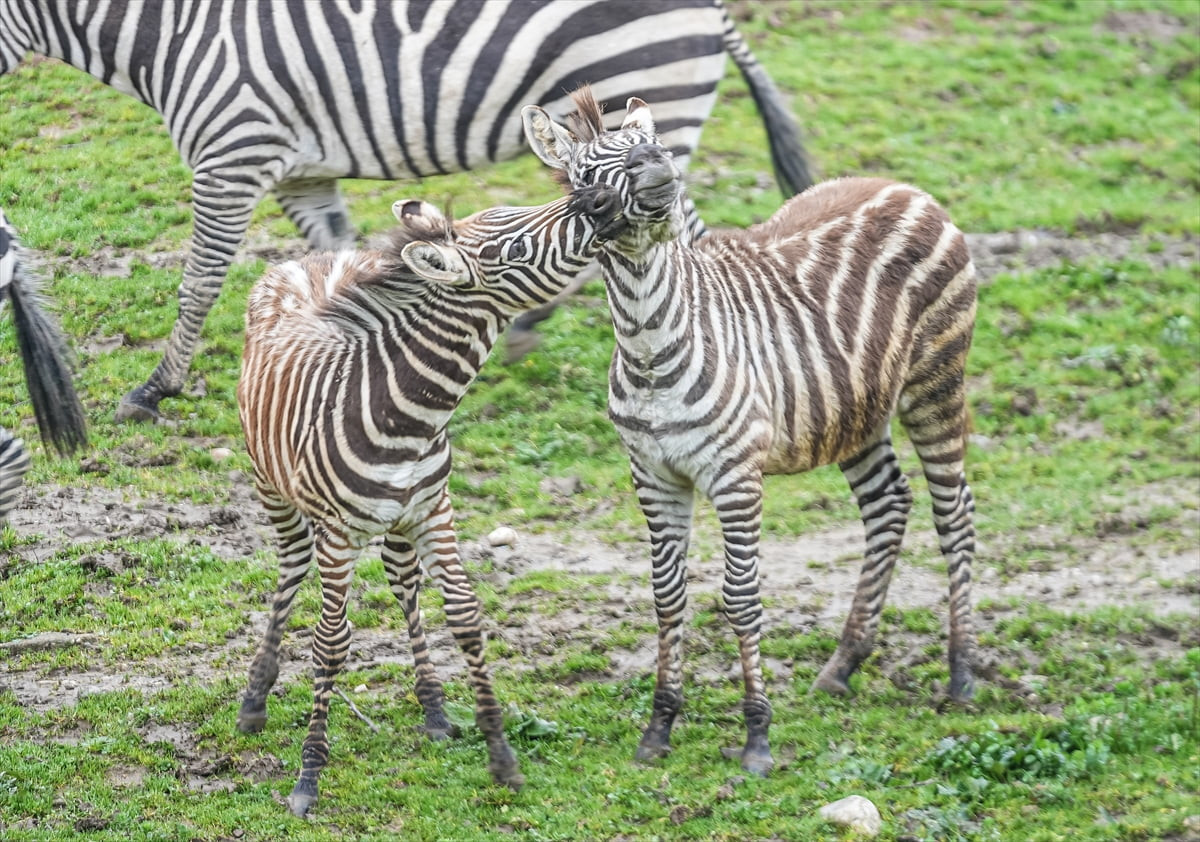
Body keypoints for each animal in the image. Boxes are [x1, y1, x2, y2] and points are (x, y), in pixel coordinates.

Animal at [0, 0, 812, 423]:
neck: (174, 34)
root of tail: (711, 8)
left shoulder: (234, 150)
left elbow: (198, 280)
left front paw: (154, 388)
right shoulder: (304, 175)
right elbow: (336, 265)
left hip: (647, 103)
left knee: (686, 246)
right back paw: (532, 326)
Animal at [235, 183, 625, 817]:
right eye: (517, 248)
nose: (597, 196)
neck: (410, 414)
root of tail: (314, 257)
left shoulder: (434, 512)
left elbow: (464, 617)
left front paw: (500, 755)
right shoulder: (338, 536)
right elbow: (330, 645)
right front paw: (307, 778)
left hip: (397, 528)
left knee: (404, 589)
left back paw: (436, 710)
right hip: (277, 493)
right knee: (290, 570)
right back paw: (254, 699)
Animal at [522, 89, 978, 776]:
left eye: (647, 145)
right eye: (585, 174)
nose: (656, 165)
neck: (651, 346)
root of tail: (902, 186)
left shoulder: (735, 476)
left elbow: (740, 597)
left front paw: (757, 736)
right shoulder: (653, 476)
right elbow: (667, 597)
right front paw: (659, 727)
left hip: (936, 381)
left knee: (954, 512)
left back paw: (961, 675)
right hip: (854, 410)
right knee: (889, 504)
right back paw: (844, 663)